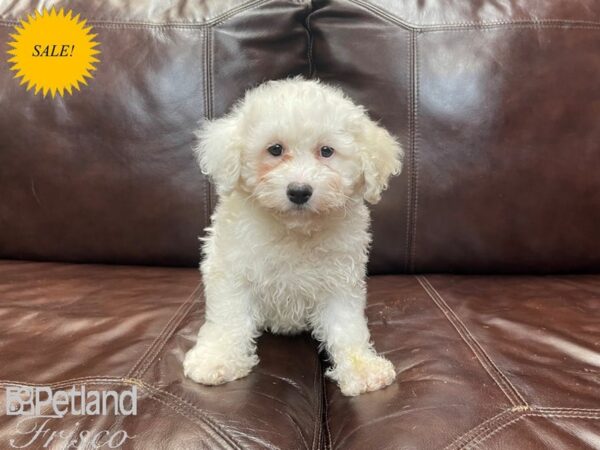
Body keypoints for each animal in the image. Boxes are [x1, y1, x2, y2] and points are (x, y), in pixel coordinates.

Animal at [184, 79, 404, 396]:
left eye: (327, 151)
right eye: (275, 149)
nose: (299, 191)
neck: (294, 230)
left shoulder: (340, 280)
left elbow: (346, 326)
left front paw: (362, 367)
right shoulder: (233, 271)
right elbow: (229, 317)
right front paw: (217, 359)